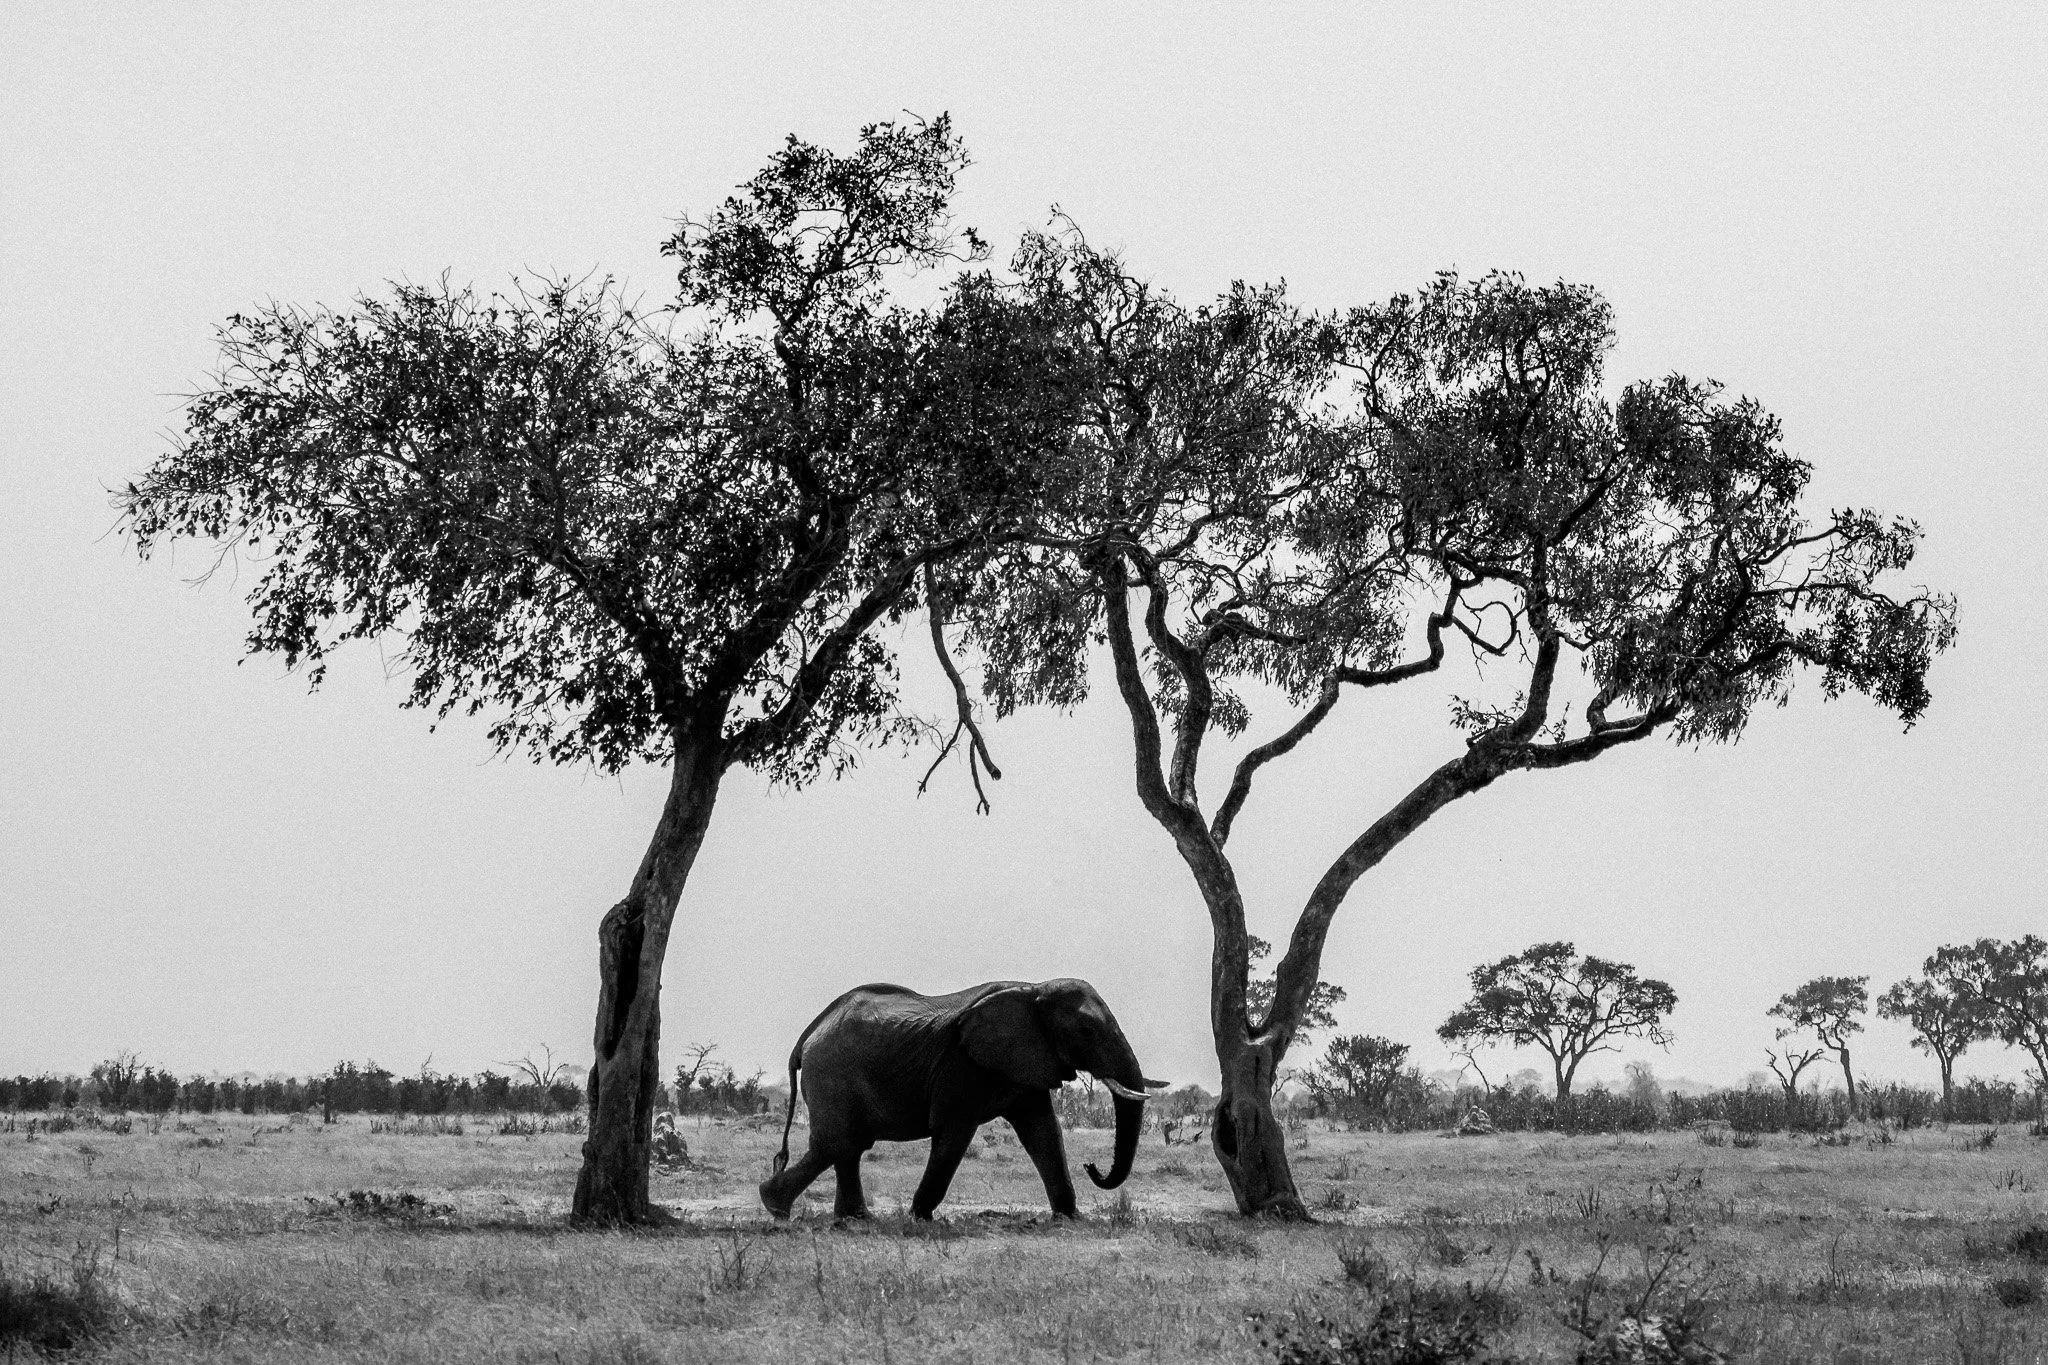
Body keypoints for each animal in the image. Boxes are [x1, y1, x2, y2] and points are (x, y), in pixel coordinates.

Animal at [759, 977, 1165, 1220]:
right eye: (1085, 1030)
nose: (1092, 1166)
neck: (1032, 988)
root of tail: (809, 1034)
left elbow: (1044, 1133)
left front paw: (1068, 1218)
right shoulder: (962, 1065)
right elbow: (954, 1134)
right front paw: (919, 1218)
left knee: (847, 1147)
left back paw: (849, 1218)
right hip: (833, 1074)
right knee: (838, 1144)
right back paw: (776, 1205)